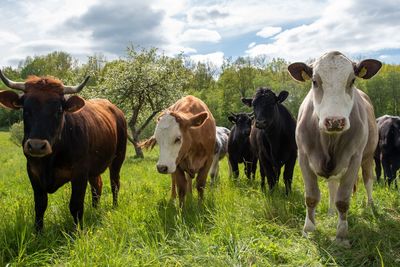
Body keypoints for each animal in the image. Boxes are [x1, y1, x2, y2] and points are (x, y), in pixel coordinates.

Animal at [0, 70, 126, 231]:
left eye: (59, 110)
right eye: (26, 109)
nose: (36, 145)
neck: (49, 160)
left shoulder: (79, 172)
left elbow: (75, 205)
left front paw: (77, 231)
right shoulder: (33, 171)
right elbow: (40, 205)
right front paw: (38, 232)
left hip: (118, 158)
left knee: (115, 183)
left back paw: (114, 207)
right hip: (94, 169)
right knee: (97, 186)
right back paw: (95, 210)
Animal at [288, 51, 382, 246]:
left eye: (352, 80)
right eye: (314, 81)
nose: (334, 121)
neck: (329, 139)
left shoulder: (354, 159)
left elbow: (343, 199)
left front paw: (341, 234)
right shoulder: (303, 157)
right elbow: (311, 197)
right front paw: (308, 229)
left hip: (368, 157)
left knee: (368, 181)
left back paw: (370, 206)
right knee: (332, 185)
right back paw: (331, 212)